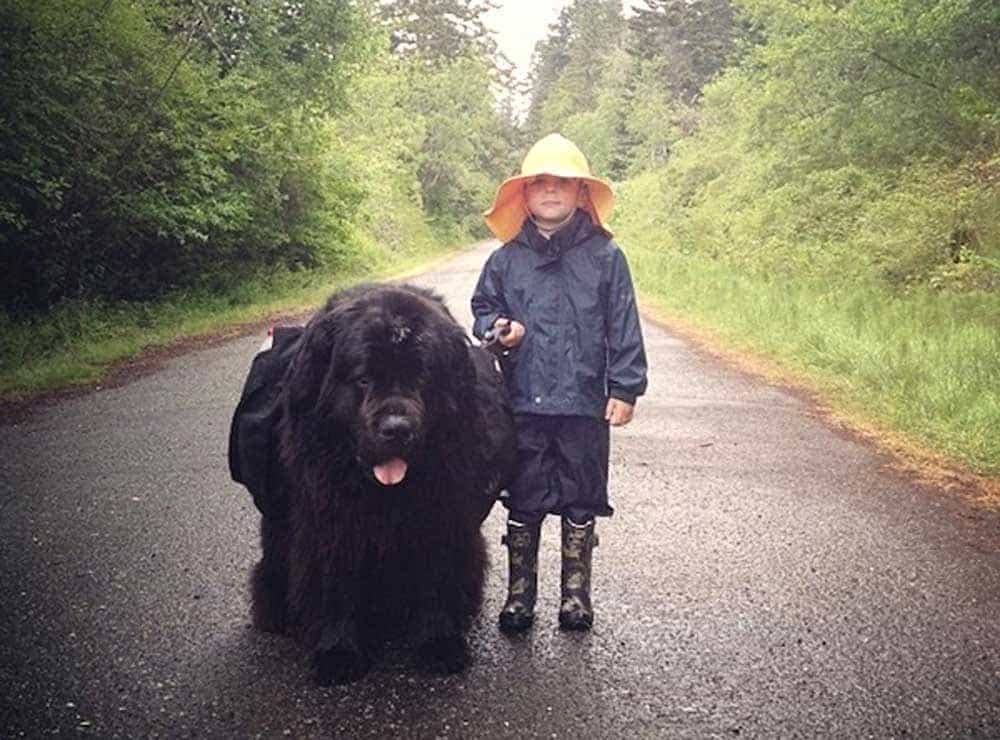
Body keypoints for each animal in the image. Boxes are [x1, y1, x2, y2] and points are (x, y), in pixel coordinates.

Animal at [229, 282, 516, 684]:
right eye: (363, 378)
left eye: (422, 377)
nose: (396, 429)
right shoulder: (330, 520)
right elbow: (335, 584)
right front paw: (338, 652)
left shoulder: (440, 515)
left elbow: (436, 576)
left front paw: (439, 643)